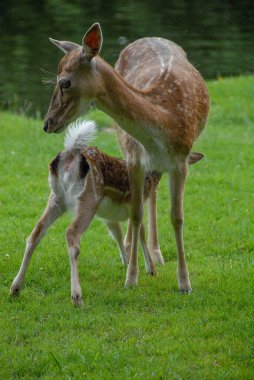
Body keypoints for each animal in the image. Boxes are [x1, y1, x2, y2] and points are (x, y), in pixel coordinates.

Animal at [43, 23, 208, 290]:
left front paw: (184, 282)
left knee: (155, 195)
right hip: (125, 145)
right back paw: (138, 249)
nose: (47, 123)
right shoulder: (134, 159)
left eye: (64, 82)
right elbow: (136, 213)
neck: (163, 121)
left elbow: (177, 217)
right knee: (146, 201)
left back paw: (157, 253)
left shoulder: (181, 161)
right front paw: (132, 277)